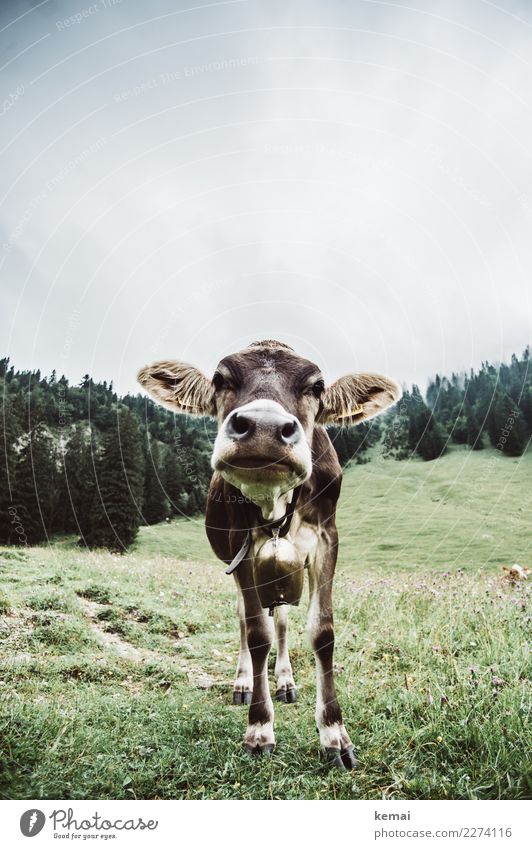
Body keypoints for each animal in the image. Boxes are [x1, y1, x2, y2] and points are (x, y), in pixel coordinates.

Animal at [139, 340, 402, 768]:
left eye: (316, 386)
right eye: (221, 379)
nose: (263, 428)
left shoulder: (327, 538)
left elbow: (321, 631)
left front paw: (334, 733)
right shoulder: (239, 546)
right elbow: (256, 632)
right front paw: (260, 726)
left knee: (280, 619)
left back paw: (285, 681)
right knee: (246, 619)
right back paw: (246, 682)